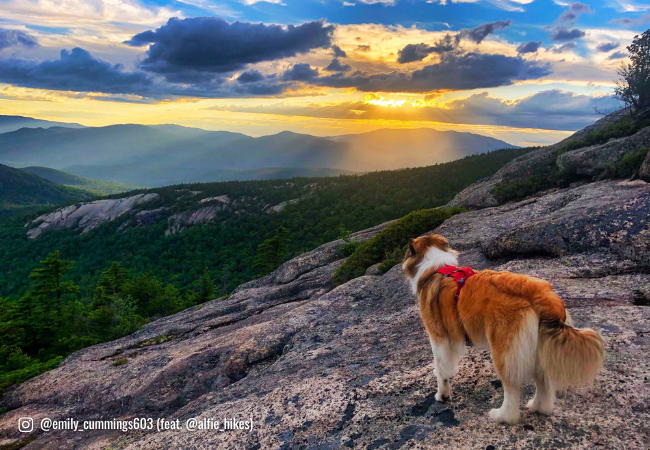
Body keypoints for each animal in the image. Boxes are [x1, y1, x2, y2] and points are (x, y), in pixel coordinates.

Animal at [402, 234, 604, 424]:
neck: (435, 268)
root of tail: (541, 294)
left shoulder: (438, 336)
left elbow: (442, 368)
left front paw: (442, 395)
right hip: (539, 347)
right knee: (543, 381)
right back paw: (538, 407)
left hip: (503, 350)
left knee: (511, 389)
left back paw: (502, 416)